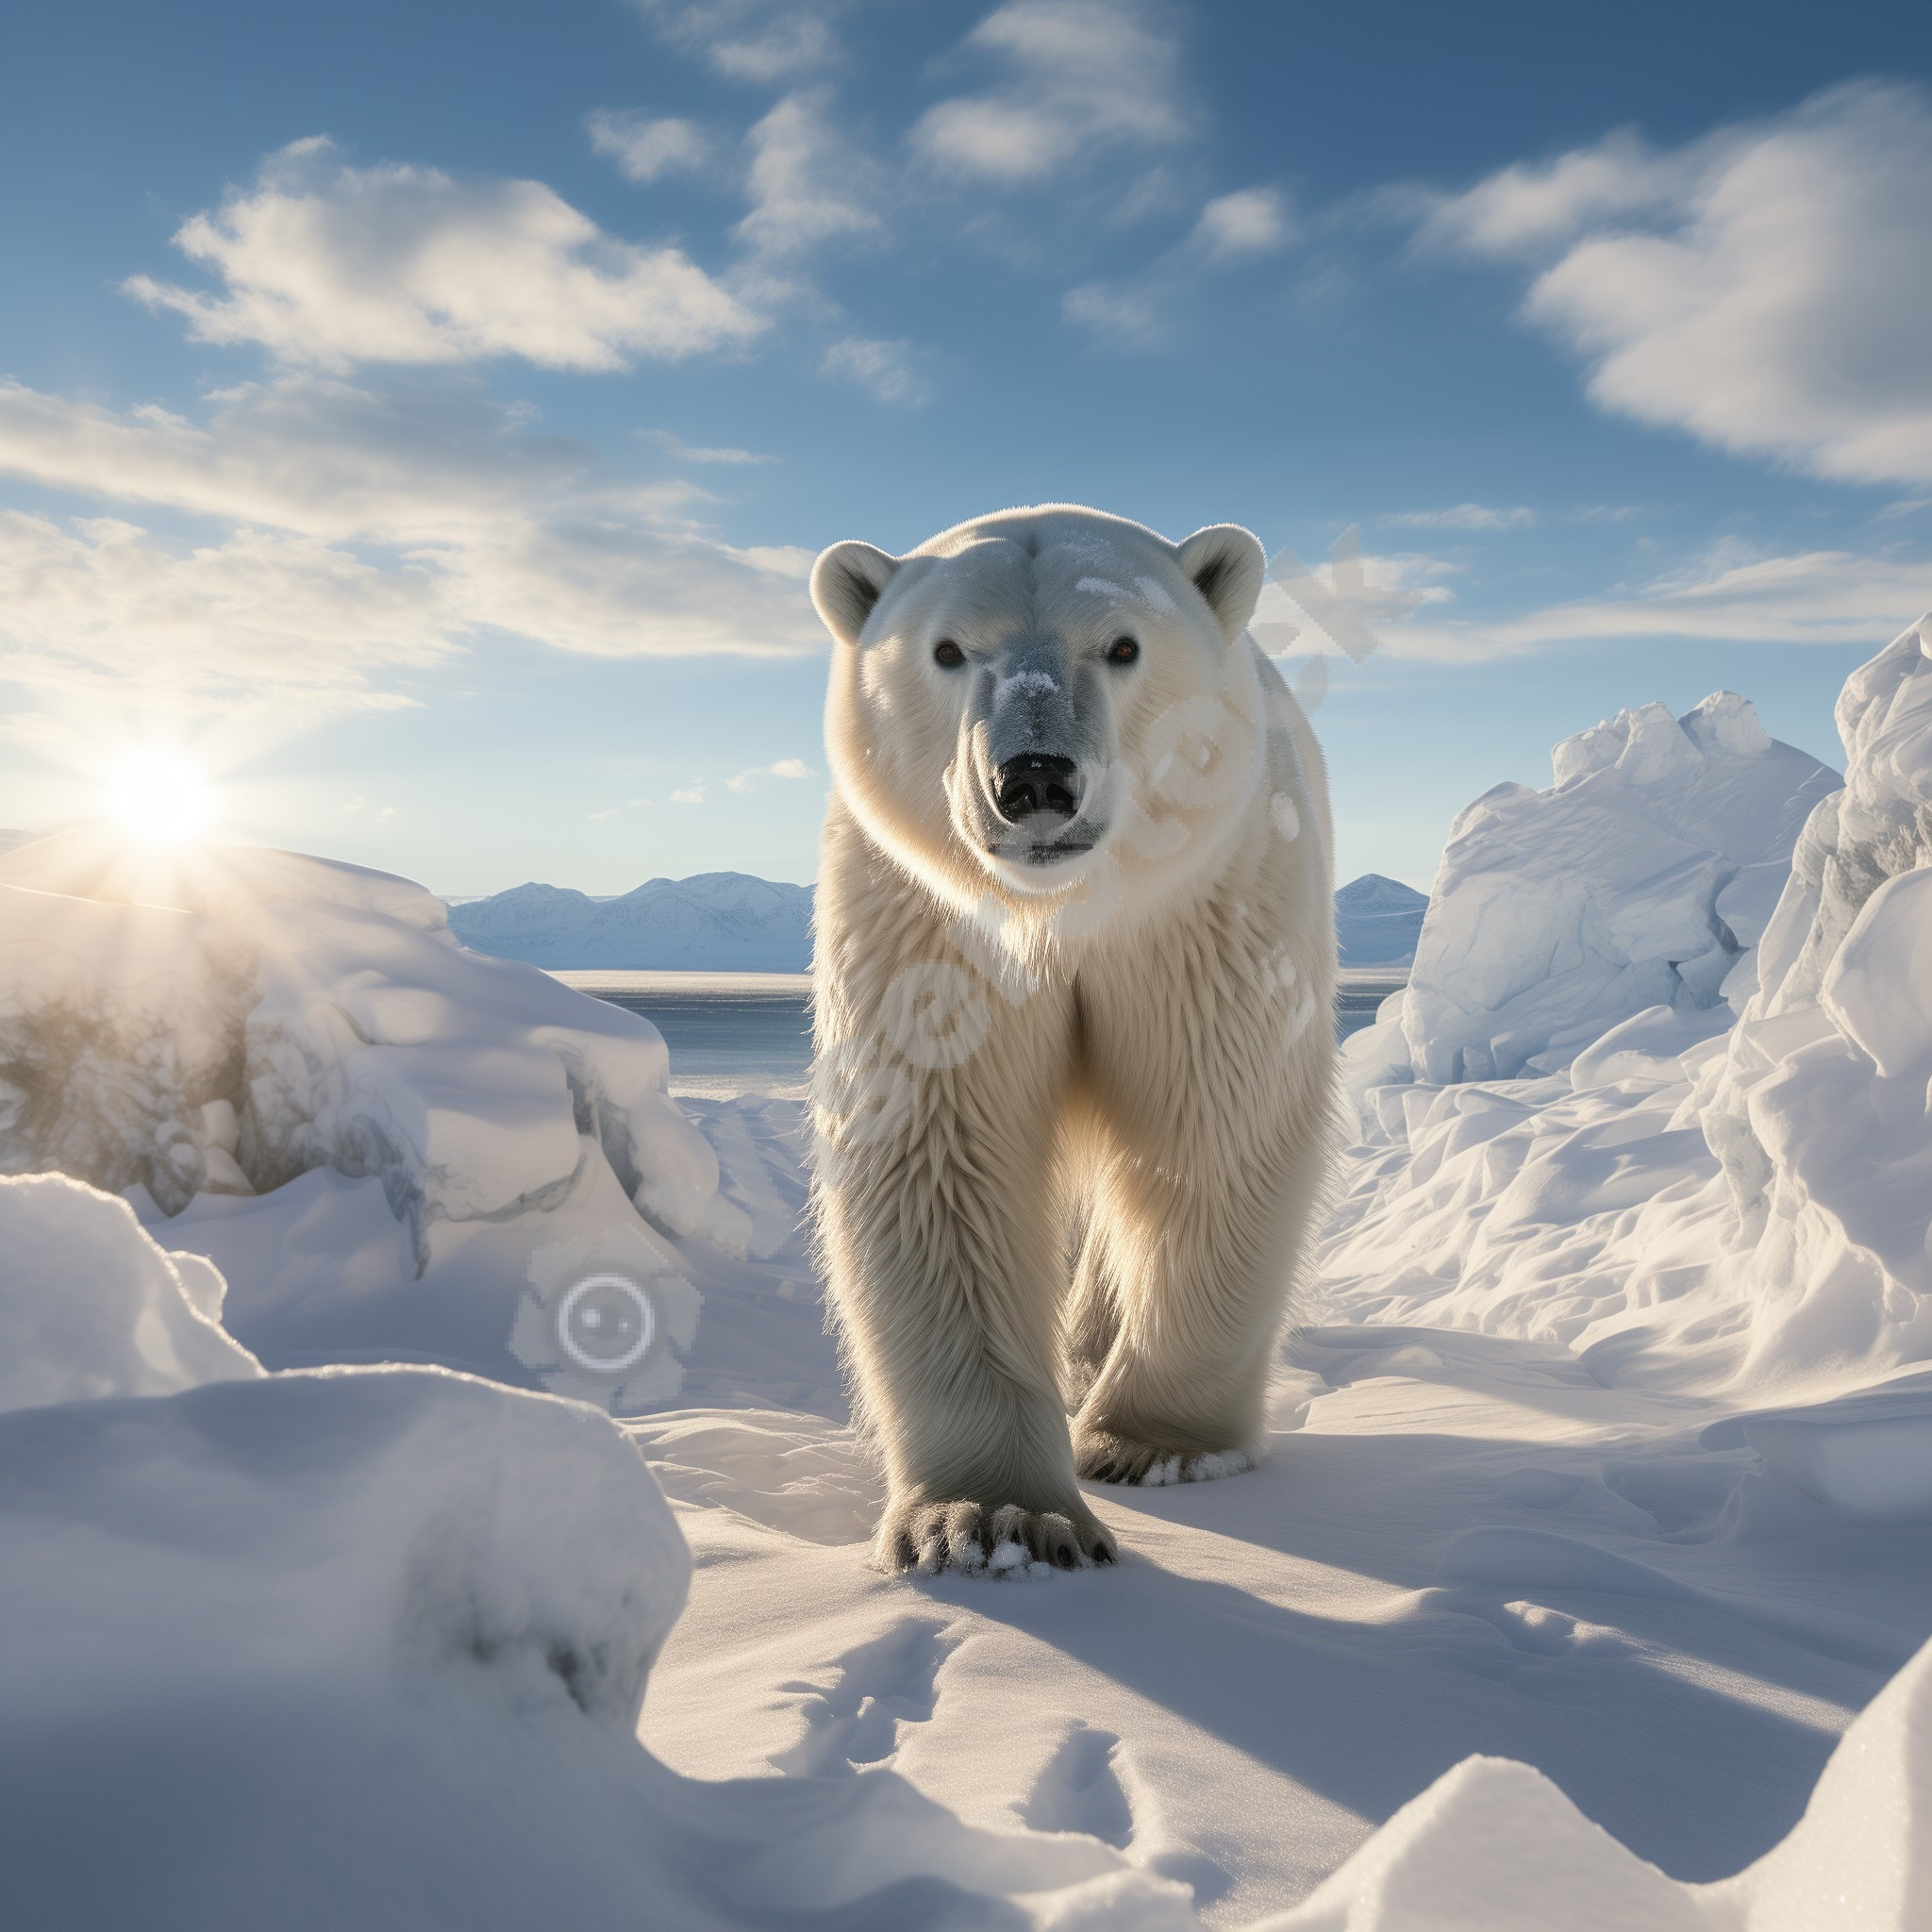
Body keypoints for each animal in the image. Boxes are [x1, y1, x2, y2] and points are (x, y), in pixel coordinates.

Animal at [807, 503, 1336, 1574]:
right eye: (948, 648)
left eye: (1122, 645)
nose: (1035, 779)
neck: (1066, 914)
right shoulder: (929, 929)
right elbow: (939, 1154)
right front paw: (991, 1518)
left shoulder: (1200, 919)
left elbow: (1212, 1130)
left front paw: (1152, 1445)